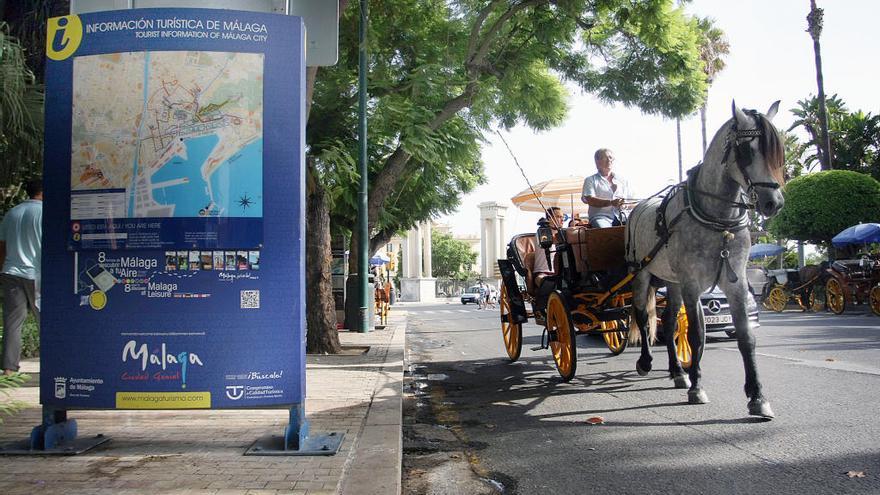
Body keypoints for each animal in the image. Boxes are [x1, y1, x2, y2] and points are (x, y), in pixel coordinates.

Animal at [624, 101, 784, 418]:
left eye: (776, 152)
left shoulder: (734, 282)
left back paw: (677, 371)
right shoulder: (692, 283)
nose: (774, 203)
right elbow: (698, 334)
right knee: (643, 318)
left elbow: (746, 337)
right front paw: (697, 387)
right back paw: (646, 362)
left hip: (671, 282)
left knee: (669, 323)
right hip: (642, 273)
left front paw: (757, 396)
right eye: (746, 150)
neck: (718, 220)